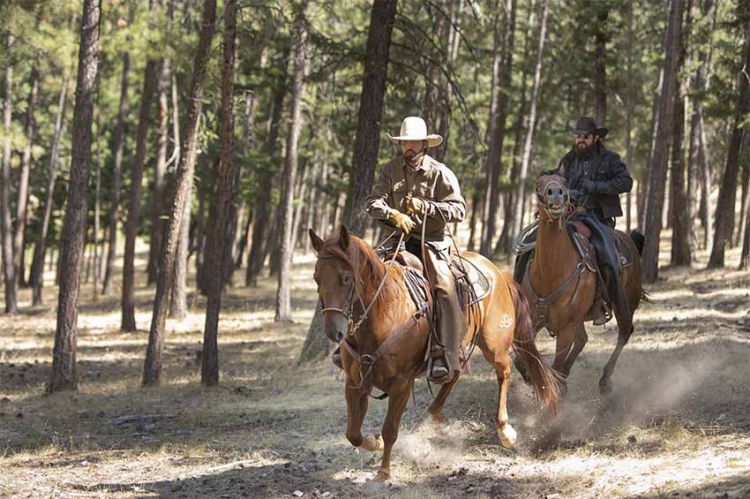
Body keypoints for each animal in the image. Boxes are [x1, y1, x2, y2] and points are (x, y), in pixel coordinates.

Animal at [308, 229, 560, 482]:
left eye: (345, 278)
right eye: (316, 278)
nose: (333, 332)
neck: (385, 310)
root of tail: (498, 272)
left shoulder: (402, 384)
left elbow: (390, 430)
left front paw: (384, 472)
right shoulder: (354, 382)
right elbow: (353, 433)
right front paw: (374, 443)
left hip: (494, 346)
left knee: (504, 373)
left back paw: (505, 430)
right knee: (453, 373)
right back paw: (436, 414)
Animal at [524, 175, 648, 394]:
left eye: (564, 182)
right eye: (539, 184)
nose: (556, 193)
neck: (550, 273)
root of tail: (631, 242)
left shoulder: (566, 328)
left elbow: (556, 362)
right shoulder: (533, 318)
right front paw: (532, 377)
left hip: (626, 303)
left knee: (624, 332)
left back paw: (605, 380)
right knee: (583, 339)